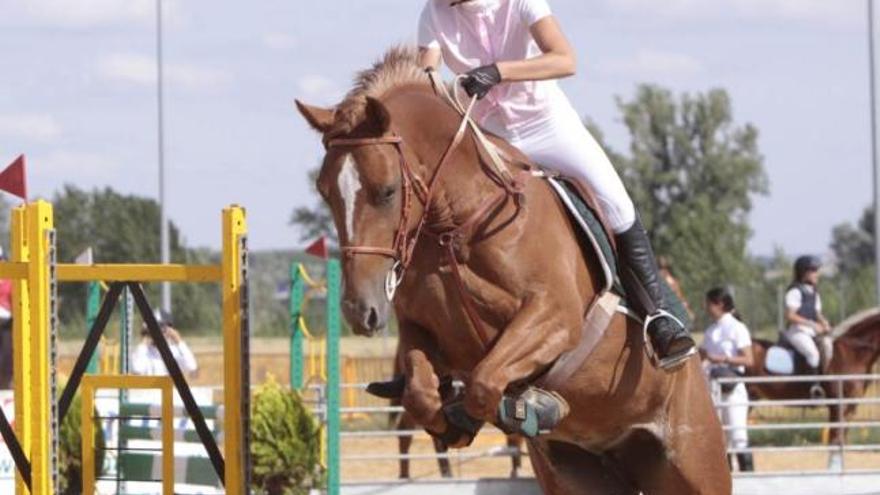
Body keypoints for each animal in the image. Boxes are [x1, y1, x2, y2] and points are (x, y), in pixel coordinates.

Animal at [296, 46, 728, 495]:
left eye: (387, 191)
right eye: (325, 193)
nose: (358, 310)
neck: (456, 223)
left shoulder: (555, 316)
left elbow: (486, 379)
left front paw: (528, 406)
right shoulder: (419, 329)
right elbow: (422, 392)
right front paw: (460, 418)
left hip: (694, 462)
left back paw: (669, 337)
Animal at [744, 310, 880, 454]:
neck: (852, 353)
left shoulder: (850, 406)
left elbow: (841, 439)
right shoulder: (837, 405)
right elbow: (834, 440)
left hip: (751, 397)